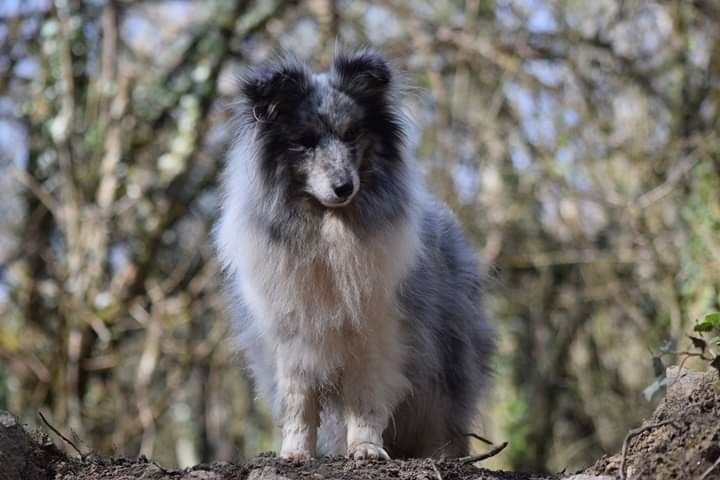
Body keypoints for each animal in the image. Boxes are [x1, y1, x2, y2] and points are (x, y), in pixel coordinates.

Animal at [215, 49, 496, 462]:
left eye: (352, 133)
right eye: (305, 141)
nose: (344, 187)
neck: (331, 233)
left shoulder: (375, 331)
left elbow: (366, 397)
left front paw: (366, 449)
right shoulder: (291, 337)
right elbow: (299, 401)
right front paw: (296, 453)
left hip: (444, 365)